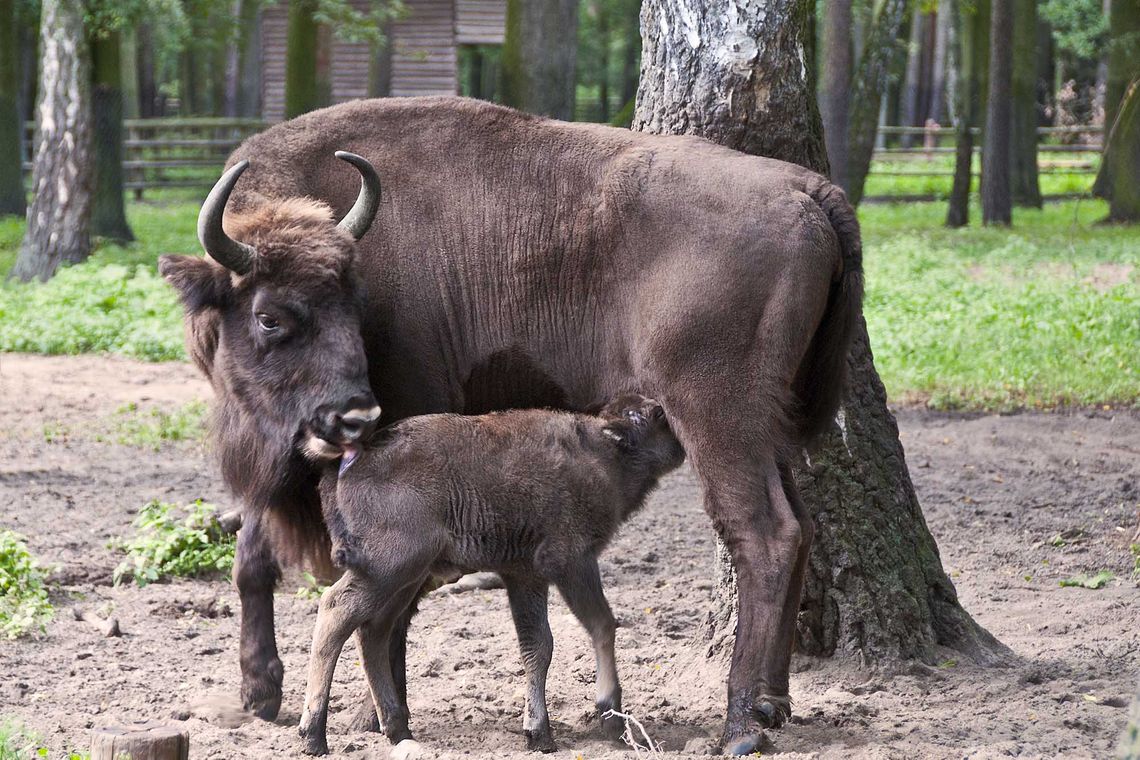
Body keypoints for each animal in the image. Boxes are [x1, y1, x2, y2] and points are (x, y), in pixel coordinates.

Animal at [298, 398, 679, 756]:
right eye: (656, 416)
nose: (678, 440)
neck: (603, 451)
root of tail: (347, 462)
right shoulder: (572, 562)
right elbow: (602, 624)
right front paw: (609, 715)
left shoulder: (524, 575)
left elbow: (537, 646)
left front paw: (538, 732)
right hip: (390, 567)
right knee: (336, 611)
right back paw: (314, 735)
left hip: (405, 579)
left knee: (373, 629)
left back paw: (397, 729)